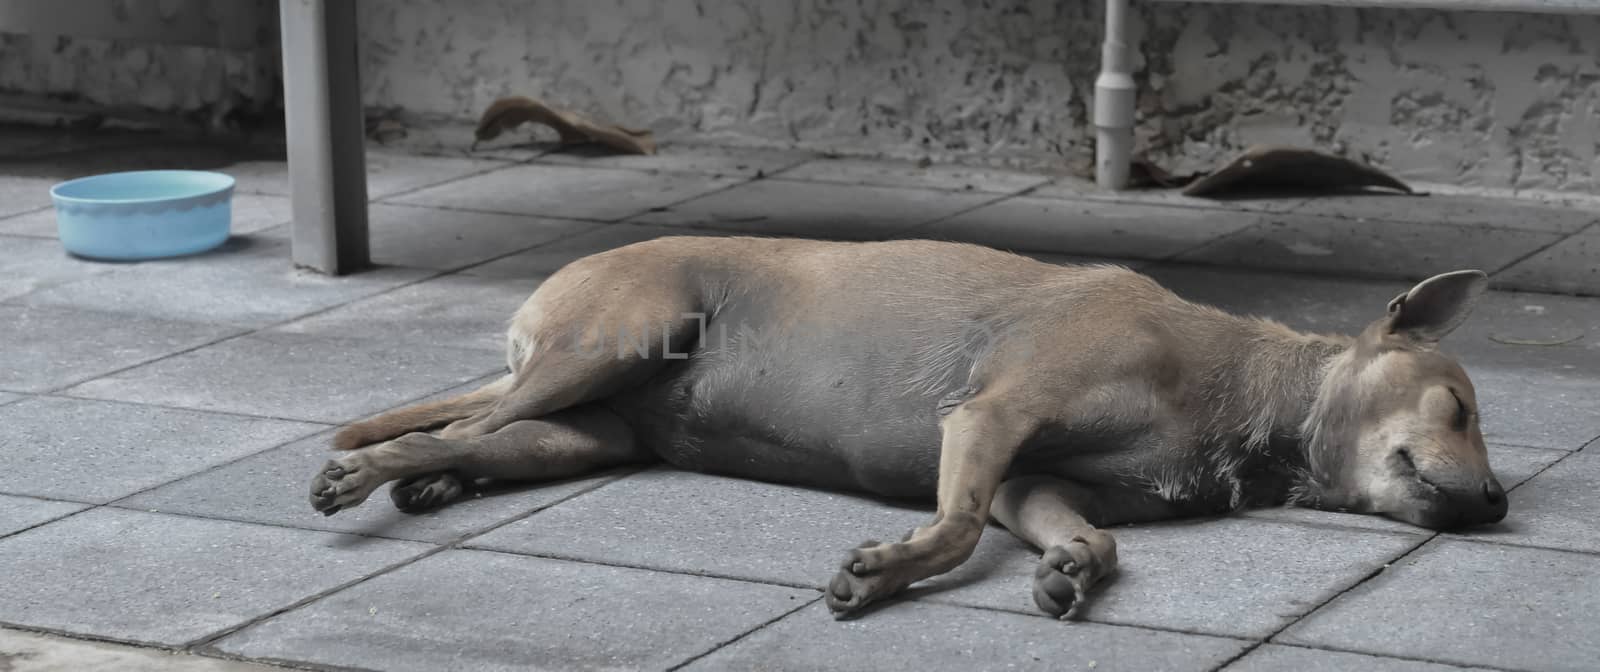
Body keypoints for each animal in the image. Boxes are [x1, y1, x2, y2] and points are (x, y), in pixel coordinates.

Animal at [305, 236, 1504, 620]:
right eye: (1460, 409)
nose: (1496, 502)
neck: (1243, 397)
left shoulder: (1032, 480)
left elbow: (1087, 535)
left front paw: (1073, 569)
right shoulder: (990, 417)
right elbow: (957, 526)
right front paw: (881, 573)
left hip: (588, 428)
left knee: (474, 433)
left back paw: (435, 482)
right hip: (618, 338)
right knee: (446, 422)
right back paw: (368, 475)